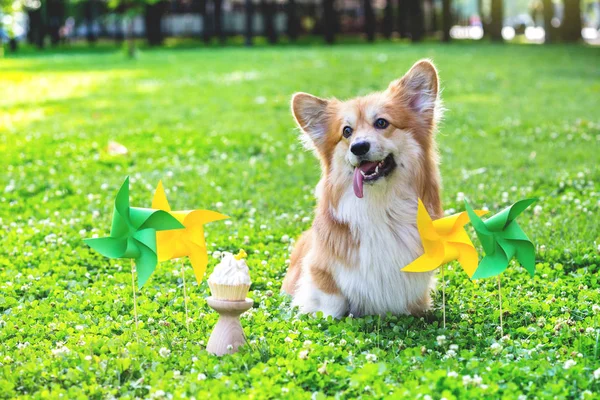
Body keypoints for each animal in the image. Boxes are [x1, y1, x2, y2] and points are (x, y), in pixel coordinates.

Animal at [282, 59, 446, 318]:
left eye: (381, 123)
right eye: (346, 131)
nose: (358, 147)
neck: (380, 205)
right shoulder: (319, 272)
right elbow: (331, 301)